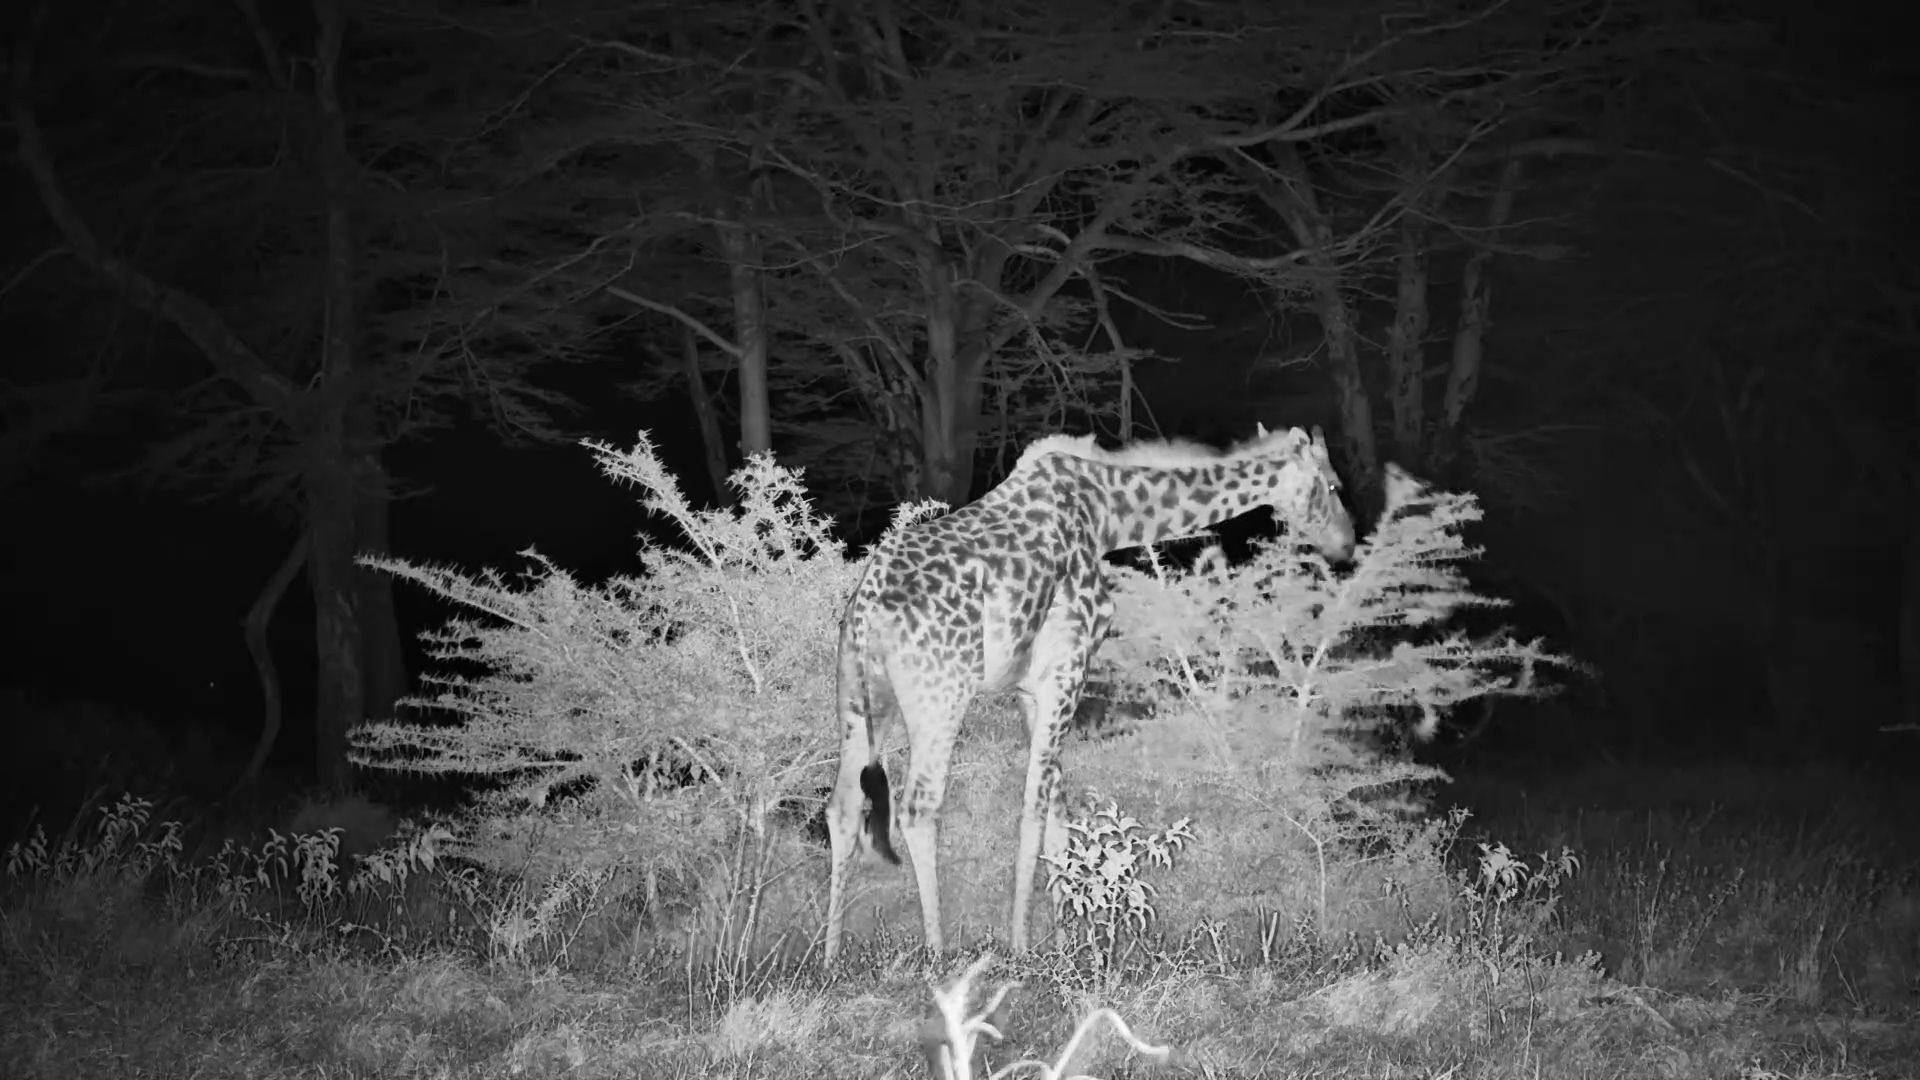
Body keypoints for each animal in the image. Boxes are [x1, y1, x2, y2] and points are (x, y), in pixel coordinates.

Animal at [822, 424, 1356, 965]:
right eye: (1334, 485)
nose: (1346, 546)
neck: (1108, 511)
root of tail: (867, 607)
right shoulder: (1067, 666)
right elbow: (1035, 810)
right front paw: (1023, 948)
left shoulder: (1031, 689)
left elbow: (1057, 812)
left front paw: (1065, 943)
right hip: (941, 695)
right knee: (917, 807)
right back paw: (938, 953)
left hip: (860, 700)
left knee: (842, 807)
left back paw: (830, 958)